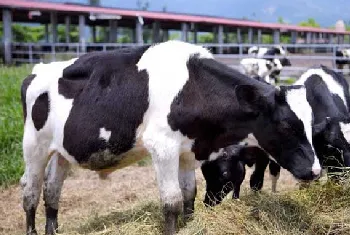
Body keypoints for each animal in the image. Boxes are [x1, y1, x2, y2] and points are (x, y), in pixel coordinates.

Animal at [19, 40, 320, 235]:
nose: (315, 171)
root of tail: (37, 69)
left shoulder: (187, 151)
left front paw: (190, 223)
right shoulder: (162, 146)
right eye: (285, 125)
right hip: (34, 147)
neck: (193, 88)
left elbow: (189, 194)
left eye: (310, 123)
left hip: (62, 151)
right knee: (30, 192)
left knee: (52, 190)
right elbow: (172, 201)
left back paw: (52, 230)